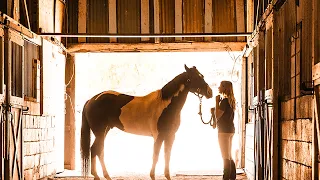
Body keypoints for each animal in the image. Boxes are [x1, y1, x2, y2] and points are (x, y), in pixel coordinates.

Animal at [81, 64, 214, 179]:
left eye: (202, 75)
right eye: (195, 77)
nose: (210, 92)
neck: (165, 104)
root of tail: (91, 100)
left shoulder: (170, 136)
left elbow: (167, 155)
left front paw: (167, 176)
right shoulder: (158, 136)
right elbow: (156, 156)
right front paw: (152, 176)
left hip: (105, 131)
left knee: (97, 150)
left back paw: (103, 176)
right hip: (100, 132)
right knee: (97, 150)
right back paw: (100, 175)